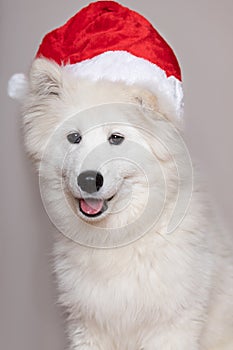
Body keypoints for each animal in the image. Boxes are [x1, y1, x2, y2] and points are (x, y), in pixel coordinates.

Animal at [19, 58, 232, 348]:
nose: (88, 180)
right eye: (74, 137)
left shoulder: (170, 328)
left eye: (116, 138)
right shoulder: (88, 326)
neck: (116, 237)